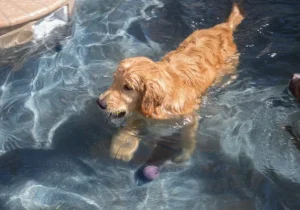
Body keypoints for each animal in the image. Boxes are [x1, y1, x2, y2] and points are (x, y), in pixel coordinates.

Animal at [97, 4, 245, 162]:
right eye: (114, 80)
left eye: (127, 87)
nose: (100, 103)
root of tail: (223, 27)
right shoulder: (141, 114)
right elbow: (131, 126)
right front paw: (123, 146)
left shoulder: (189, 117)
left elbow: (188, 137)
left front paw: (185, 155)